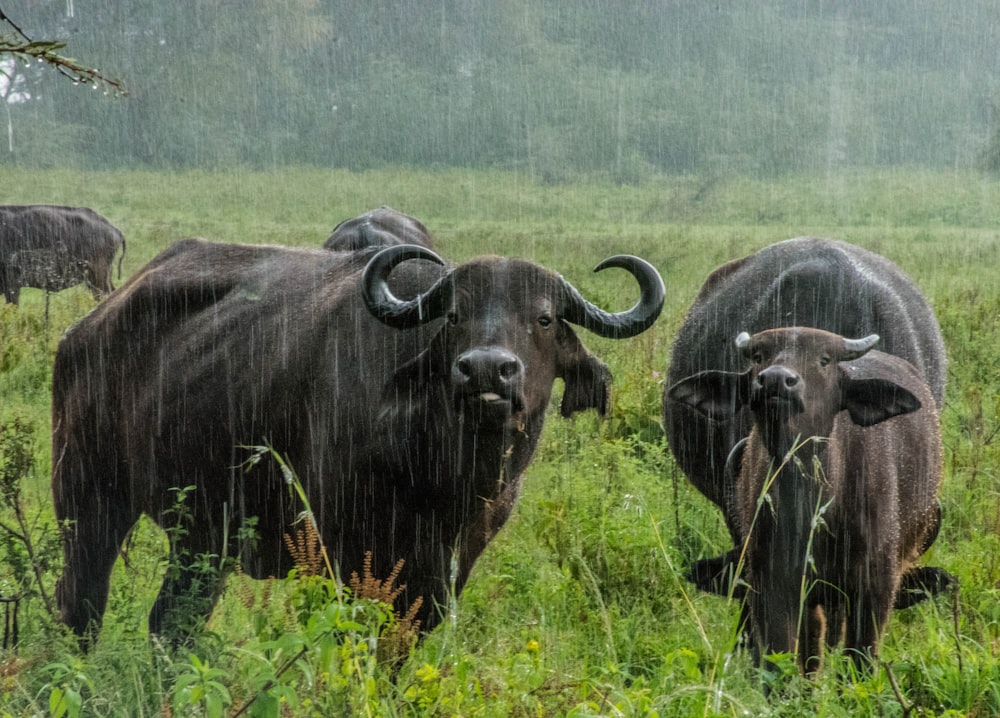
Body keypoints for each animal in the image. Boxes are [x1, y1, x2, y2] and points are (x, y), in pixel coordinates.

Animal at [52, 228, 664, 644]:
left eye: (543, 318)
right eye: (455, 316)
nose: (487, 370)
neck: (441, 470)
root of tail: (89, 327)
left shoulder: (450, 566)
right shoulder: (348, 551)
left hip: (202, 539)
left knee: (171, 622)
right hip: (86, 501)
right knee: (81, 603)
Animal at [668, 330, 940, 676]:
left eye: (824, 360)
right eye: (759, 357)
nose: (775, 381)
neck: (813, 507)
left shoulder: (875, 583)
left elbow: (860, 659)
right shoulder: (771, 583)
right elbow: (780, 660)